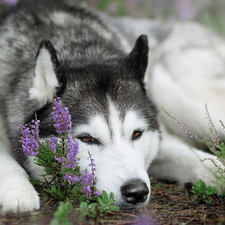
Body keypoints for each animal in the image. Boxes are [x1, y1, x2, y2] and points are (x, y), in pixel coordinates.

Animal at [0, 0, 223, 214]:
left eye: (137, 133)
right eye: (87, 138)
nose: (137, 191)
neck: (79, 50)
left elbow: (194, 157)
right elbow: (6, 160)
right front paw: (18, 192)